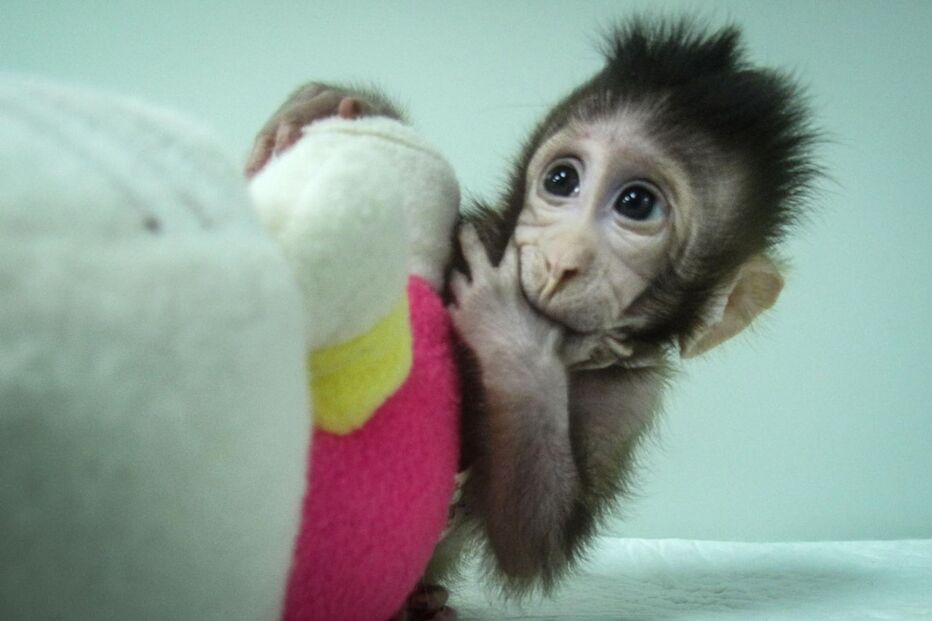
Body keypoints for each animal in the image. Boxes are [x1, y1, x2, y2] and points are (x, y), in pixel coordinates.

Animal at [245, 17, 819, 620]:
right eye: (562, 180)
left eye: (637, 204)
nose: (562, 261)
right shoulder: (476, 234)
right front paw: (328, 103)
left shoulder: (633, 395)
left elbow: (531, 544)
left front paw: (513, 338)